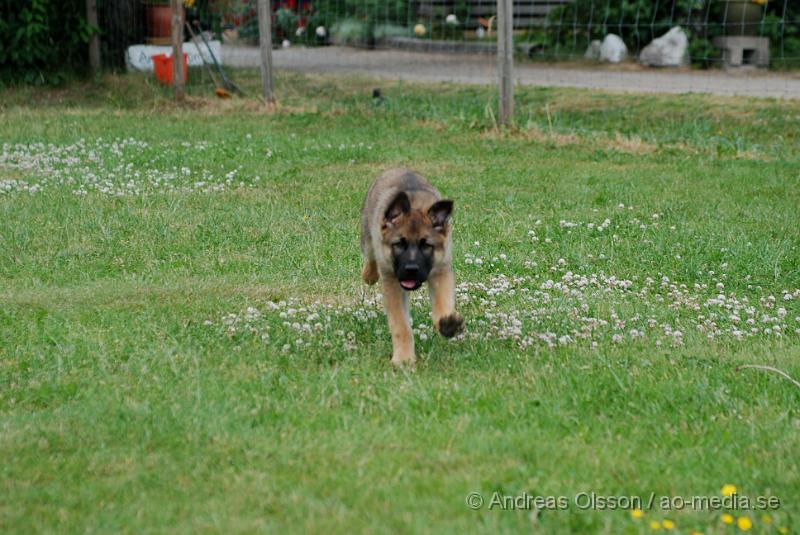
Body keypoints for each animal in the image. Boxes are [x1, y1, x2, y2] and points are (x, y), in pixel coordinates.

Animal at [360, 170, 466, 366]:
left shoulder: (441, 271)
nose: (411, 269)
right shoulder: (393, 282)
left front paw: (448, 324)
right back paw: (369, 275)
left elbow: (442, 304)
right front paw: (403, 358)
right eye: (399, 244)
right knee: (370, 257)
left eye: (426, 246)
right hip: (368, 237)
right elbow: (401, 326)